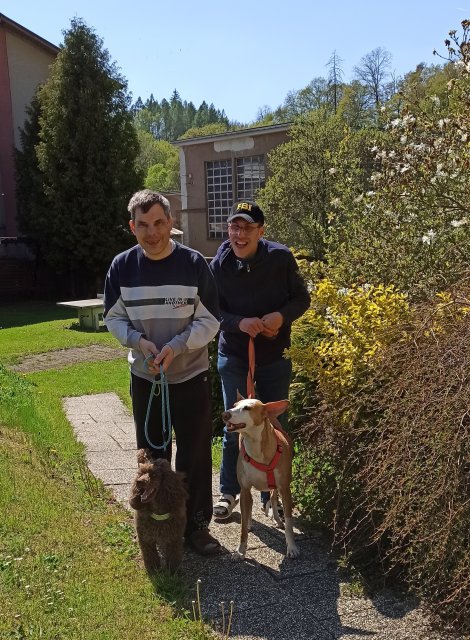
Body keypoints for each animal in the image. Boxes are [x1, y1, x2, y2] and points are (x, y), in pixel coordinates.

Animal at [222, 395, 300, 560]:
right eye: (234, 405)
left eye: (247, 408)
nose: (225, 414)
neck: (256, 448)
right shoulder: (244, 489)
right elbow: (242, 525)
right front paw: (240, 551)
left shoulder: (285, 488)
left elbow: (289, 522)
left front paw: (292, 548)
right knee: (251, 505)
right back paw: (250, 522)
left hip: (276, 486)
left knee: (272, 497)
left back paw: (277, 519)